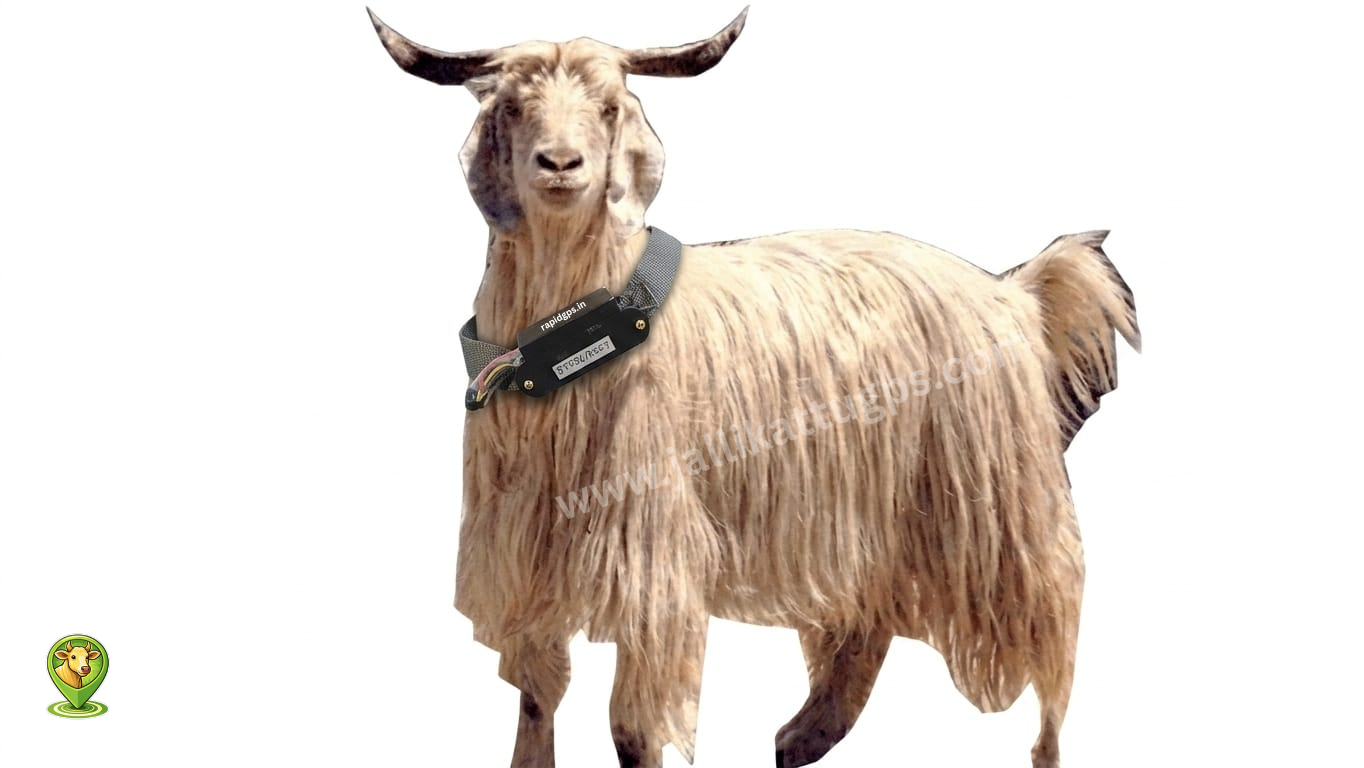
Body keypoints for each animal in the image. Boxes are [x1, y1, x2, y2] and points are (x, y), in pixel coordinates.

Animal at [368, 8, 1140, 768]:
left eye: (610, 106)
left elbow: (632, 726)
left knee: (1050, 653)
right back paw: (794, 741)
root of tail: (1016, 293)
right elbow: (537, 695)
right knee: (863, 638)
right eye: (512, 106)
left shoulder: (650, 552)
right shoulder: (522, 554)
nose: (560, 165)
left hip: (1005, 515)